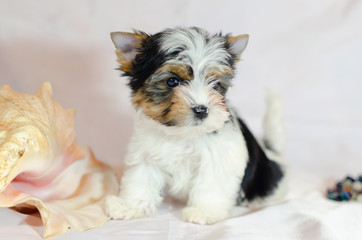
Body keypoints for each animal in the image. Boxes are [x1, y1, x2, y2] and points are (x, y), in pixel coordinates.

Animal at [106, 26, 288, 225]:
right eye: (172, 81)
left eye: (215, 84)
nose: (202, 110)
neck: (182, 133)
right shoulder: (145, 154)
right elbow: (140, 179)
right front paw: (129, 206)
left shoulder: (220, 156)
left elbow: (212, 183)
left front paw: (204, 211)